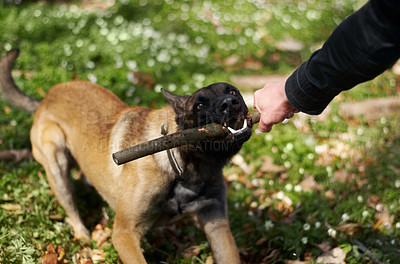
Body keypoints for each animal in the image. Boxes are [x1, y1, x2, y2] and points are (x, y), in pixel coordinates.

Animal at [0, 50, 250, 264]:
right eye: (199, 105)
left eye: (233, 91)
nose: (231, 104)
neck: (184, 167)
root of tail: (44, 99)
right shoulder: (124, 234)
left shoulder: (218, 227)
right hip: (56, 159)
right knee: (71, 208)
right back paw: (84, 237)